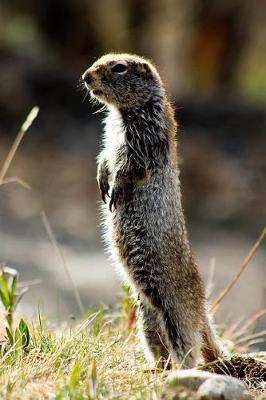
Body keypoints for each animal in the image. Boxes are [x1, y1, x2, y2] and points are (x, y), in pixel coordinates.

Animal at [81, 53, 227, 368]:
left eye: (119, 67)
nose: (85, 77)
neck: (124, 113)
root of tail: (203, 309)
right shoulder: (110, 136)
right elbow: (104, 155)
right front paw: (101, 180)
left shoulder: (145, 138)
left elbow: (130, 166)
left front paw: (116, 189)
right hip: (148, 318)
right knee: (161, 347)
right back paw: (155, 369)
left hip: (177, 316)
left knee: (189, 348)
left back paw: (181, 371)